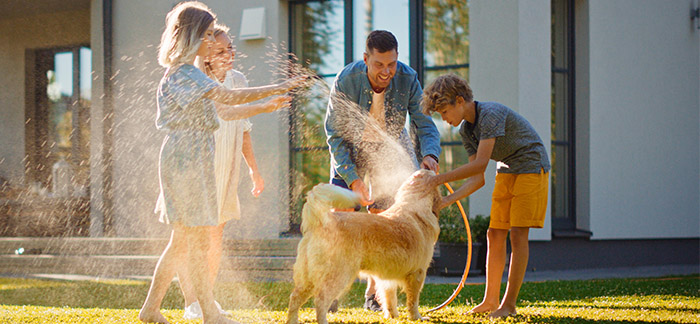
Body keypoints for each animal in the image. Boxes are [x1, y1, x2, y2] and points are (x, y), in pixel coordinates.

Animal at [284, 170, 438, 324]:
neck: (414, 207)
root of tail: (323, 221)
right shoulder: (418, 274)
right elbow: (413, 301)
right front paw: (417, 317)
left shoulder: (387, 278)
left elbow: (390, 299)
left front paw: (393, 316)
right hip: (339, 276)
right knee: (320, 301)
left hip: (308, 279)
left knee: (294, 298)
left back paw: (292, 320)